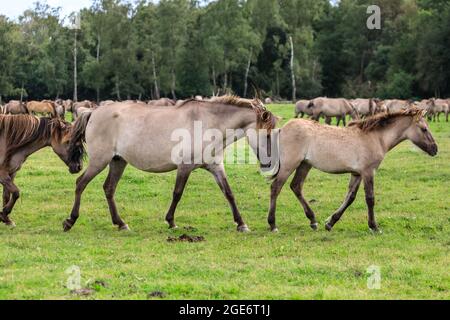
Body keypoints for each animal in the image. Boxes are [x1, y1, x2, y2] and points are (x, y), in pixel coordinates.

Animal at [63, 95, 278, 232]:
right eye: (267, 135)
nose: (270, 165)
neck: (207, 123)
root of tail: (93, 112)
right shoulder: (184, 167)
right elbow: (177, 193)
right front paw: (171, 221)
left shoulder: (216, 167)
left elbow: (229, 194)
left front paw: (241, 224)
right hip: (100, 161)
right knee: (81, 183)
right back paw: (70, 221)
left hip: (118, 161)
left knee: (108, 188)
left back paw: (121, 223)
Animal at [266, 107, 438, 232]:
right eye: (424, 129)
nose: (435, 149)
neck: (376, 138)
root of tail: (282, 129)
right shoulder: (368, 172)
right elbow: (370, 199)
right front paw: (374, 226)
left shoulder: (357, 174)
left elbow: (350, 197)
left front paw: (330, 223)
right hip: (289, 164)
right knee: (276, 187)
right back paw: (273, 224)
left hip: (304, 164)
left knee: (296, 186)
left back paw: (313, 221)